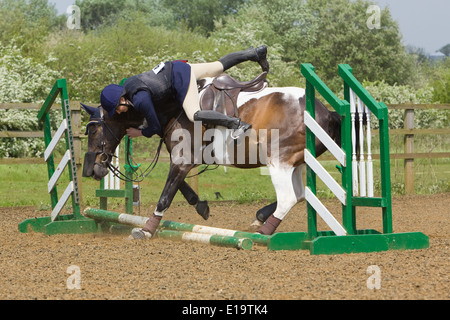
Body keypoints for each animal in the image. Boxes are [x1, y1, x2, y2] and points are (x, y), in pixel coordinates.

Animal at [81, 73, 342, 235]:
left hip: (279, 162)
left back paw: (263, 232)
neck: (173, 107)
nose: (89, 170)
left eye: (93, 129)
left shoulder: (182, 160)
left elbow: (166, 195)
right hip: (295, 163)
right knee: (300, 194)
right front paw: (201, 206)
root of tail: (325, 112)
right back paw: (260, 218)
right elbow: (181, 188)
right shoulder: (185, 161)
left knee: (289, 197)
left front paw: (146, 230)